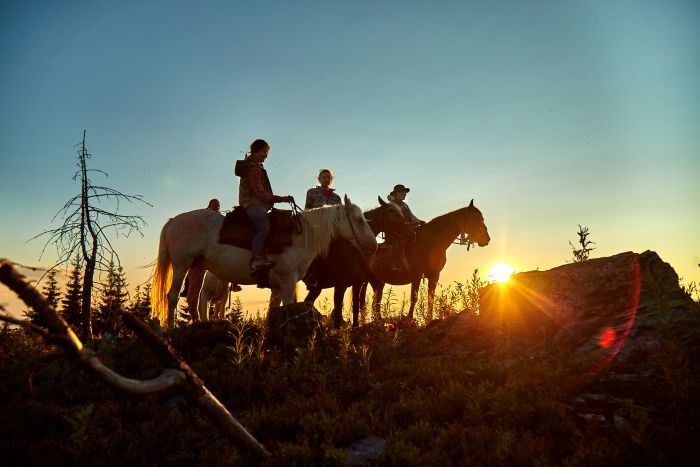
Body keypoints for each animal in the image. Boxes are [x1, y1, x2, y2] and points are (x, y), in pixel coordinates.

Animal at [150, 197, 374, 330]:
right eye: (359, 220)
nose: (372, 244)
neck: (301, 236)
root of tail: (173, 220)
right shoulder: (288, 281)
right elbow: (289, 306)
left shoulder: (277, 286)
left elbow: (272, 311)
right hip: (182, 265)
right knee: (173, 295)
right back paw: (170, 328)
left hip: (198, 268)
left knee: (193, 298)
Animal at [304, 202, 408, 330]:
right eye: (391, 211)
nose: (408, 228)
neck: (353, 247)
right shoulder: (341, 285)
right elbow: (338, 309)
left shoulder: (358, 282)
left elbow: (356, 306)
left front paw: (355, 327)